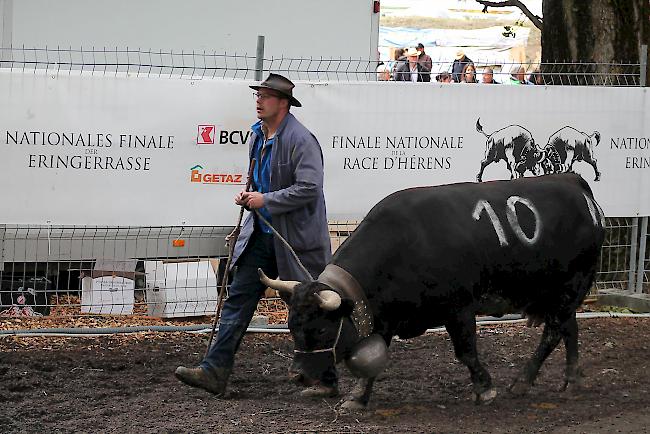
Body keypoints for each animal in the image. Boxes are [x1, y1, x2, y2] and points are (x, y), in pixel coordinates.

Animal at [258, 174, 604, 410]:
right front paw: (358, 398)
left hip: (569, 287)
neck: (408, 243)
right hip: (559, 295)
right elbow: (374, 360)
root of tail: (572, 182)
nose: (298, 375)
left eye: (320, 329)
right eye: (291, 326)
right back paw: (571, 379)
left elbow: (466, 352)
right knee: (568, 329)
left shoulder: (459, 308)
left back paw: (524, 380)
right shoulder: (384, 317)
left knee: (554, 332)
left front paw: (485, 388)